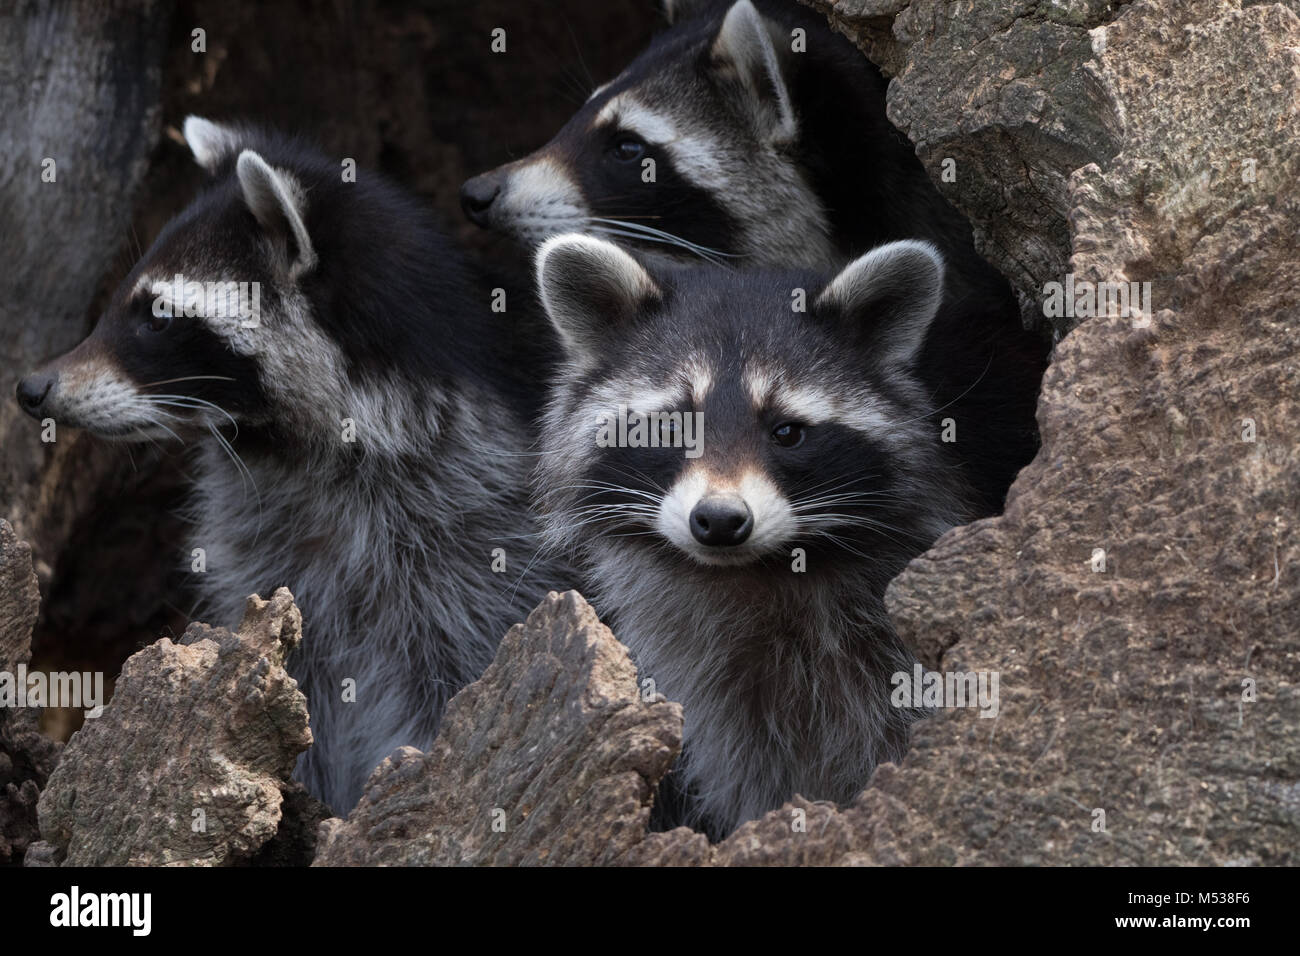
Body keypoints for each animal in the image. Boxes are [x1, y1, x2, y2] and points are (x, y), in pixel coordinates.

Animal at [13, 115, 574, 811]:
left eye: (158, 317)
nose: (32, 388)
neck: (300, 450)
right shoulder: (271, 546)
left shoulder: (478, 532)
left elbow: (456, 674)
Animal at [530, 234, 977, 837]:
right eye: (670, 425)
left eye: (787, 432)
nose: (719, 520)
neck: (756, 574)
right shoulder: (708, 664)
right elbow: (748, 757)